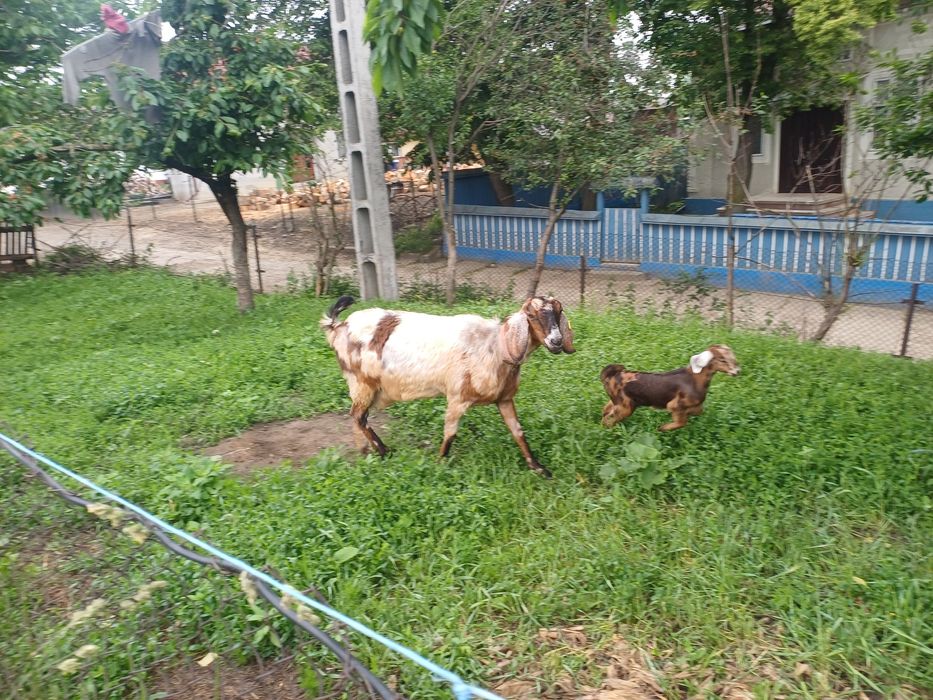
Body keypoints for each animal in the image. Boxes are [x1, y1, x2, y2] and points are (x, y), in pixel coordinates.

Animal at [321, 295, 576, 478]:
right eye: (532, 315)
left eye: (559, 312)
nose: (556, 341)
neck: (496, 346)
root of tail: (339, 326)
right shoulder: (457, 396)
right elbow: (450, 433)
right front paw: (439, 464)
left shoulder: (504, 398)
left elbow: (518, 432)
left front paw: (539, 468)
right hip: (362, 382)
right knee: (357, 416)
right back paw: (378, 452)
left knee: (360, 418)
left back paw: (372, 452)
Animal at [600, 345, 739, 431]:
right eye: (722, 360)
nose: (737, 371)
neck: (694, 379)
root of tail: (613, 375)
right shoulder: (675, 405)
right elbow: (681, 422)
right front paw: (662, 428)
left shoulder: (694, 406)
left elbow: (698, 411)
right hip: (625, 406)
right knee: (608, 419)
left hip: (618, 401)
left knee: (606, 410)